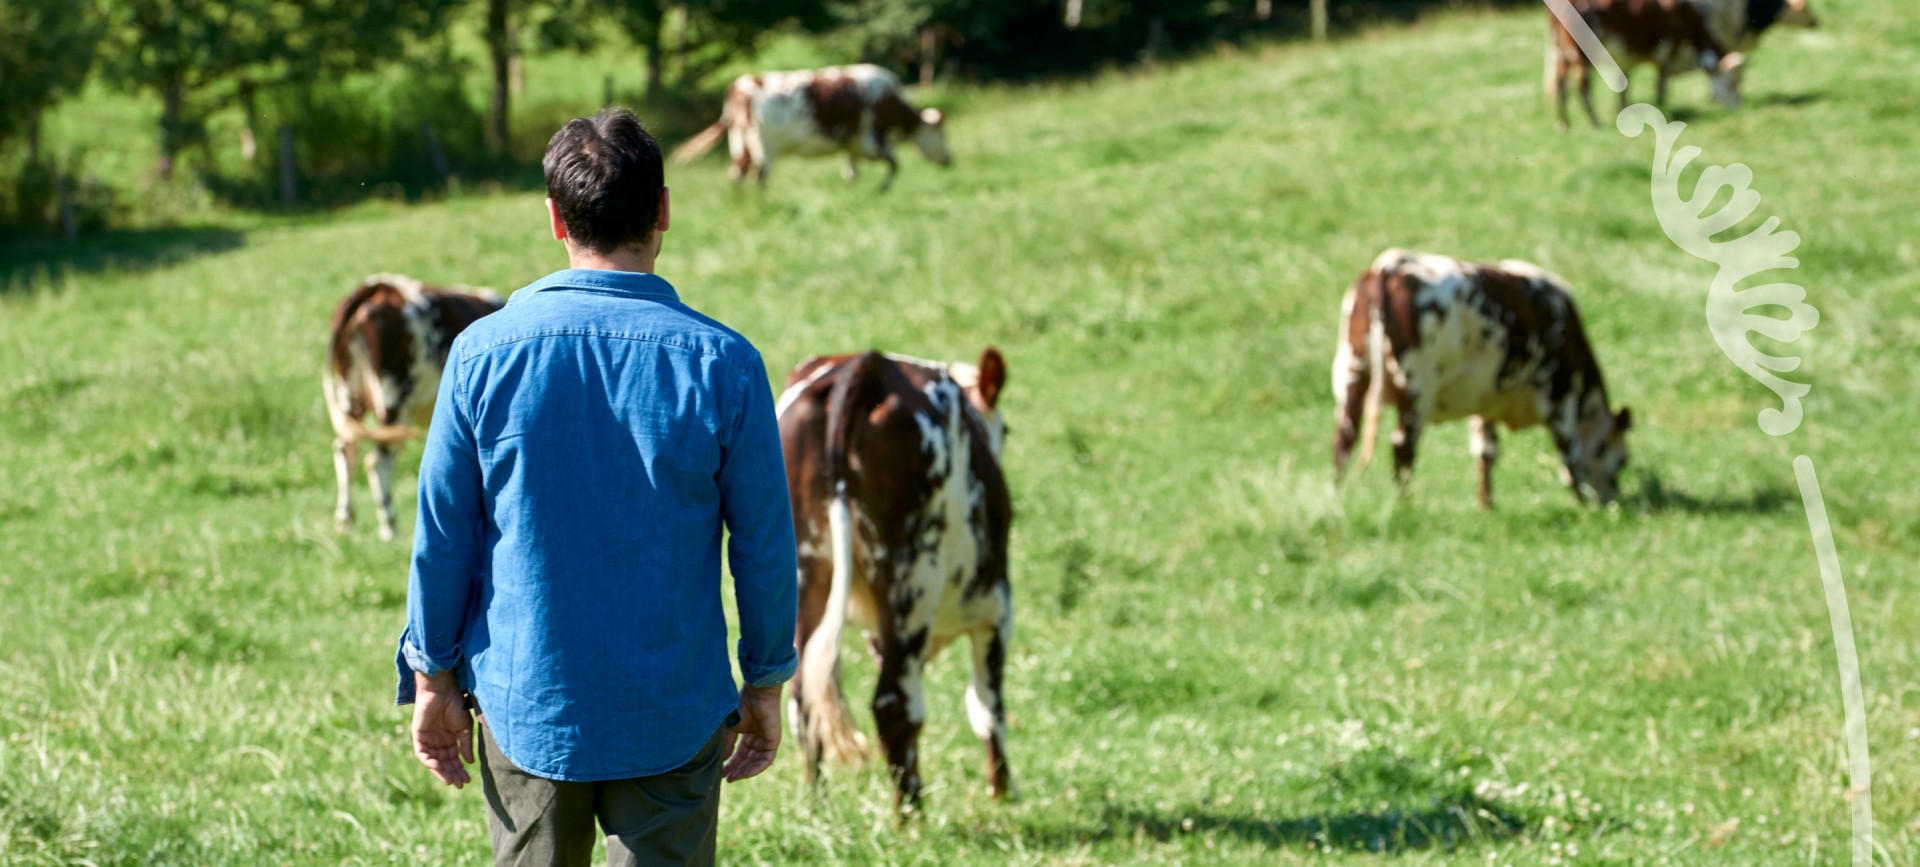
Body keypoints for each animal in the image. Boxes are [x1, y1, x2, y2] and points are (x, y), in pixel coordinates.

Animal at [322, 274, 503, 537]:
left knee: (347, 450)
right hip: (394, 399)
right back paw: (389, 527)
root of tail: (377, 286)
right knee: (377, 460)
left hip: (351, 393)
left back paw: (346, 522)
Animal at [672, 63, 956, 191]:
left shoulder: (853, 144)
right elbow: (894, 164)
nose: (949, 159)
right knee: (759, 176)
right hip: (763, 145)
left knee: (738, 173)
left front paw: (855, 190)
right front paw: (883, 189)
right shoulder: (871, 139)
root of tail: (741, 85)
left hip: (740, 142)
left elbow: (851, 171)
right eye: (942, 133)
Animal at [779, 347, 1021, 813]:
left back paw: (818, 806)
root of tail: (865, 363)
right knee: (893, 705)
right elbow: (987, 706)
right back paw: (912, 817)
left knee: (802, 698)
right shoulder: (996, 609)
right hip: (913, 583)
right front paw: (1004, 797)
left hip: (804, 576)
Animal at [1336, 251, 1635, 506]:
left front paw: (1486, 505)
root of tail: (1389, 266)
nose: (1611, 502)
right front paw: (1584, 506)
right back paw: (1403, 505)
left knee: (1345, 439)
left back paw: (1336, 498)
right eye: (1623, 460)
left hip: (1352, 375)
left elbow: (1486, 452)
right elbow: (1570, 459)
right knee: (1402, 447)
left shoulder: (1485, 401)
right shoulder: (1560, 399)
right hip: (1415, 389)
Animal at [1551, 0, 1751, 130]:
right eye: (1733, 82)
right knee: (1582, 90)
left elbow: (1623, 86)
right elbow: (1661, 83)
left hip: (1562, 53)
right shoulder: (1669, 48)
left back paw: (1564, 124)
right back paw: (1595, 122)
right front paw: (1661, 106)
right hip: (1582, 56)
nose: (1738, 107)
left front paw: (1623, 111)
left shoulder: (1628, 57)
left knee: (1561, 86)